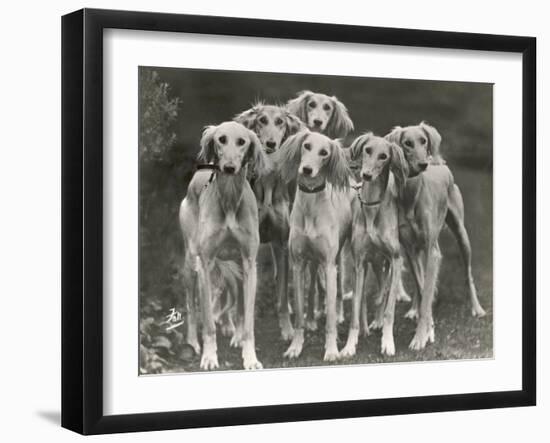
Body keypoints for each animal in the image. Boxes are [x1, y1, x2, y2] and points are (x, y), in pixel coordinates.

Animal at [179, 121, 270, 372]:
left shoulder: (249, 263)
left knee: (234, 296)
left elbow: (247, 319)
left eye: (242, 142)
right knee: (191, 305)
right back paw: (192, 341)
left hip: (234, 264)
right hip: (191, 263)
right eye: (221, 139)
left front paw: (250, 358)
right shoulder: (206, 263)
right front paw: (210, 357)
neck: (229, 197)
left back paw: (234, 331)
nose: (229, 167)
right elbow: (208, 322)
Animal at [233, 103, 302, 340]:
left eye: (280, 122)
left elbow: (282, 291)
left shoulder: (281, 243)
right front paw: (239, 333)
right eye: (262, 120)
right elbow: (243, 298)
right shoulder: (244, 246)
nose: (271, 143)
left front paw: (288, 329)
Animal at [278, 127, 352, 360]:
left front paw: (331, 350)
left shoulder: (329, 265)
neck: (311, 205)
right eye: (307, 146)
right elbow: (299, 314)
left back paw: (339, 314)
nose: (307, 169)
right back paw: (311, 318)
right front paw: (295, 346)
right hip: (312, 262)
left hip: (342, 256)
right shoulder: (298, 264)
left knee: (338, 290)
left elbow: (329, 318)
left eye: (324, 153)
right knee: (311, 291)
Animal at [344, 132, 410, 358]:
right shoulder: (360, 262)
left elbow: (390, 308)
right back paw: (369, 324)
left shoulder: (396, 259)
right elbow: (355, 308)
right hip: (373, 262)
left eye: (384, 156)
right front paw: (349, 345)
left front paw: (388, 342)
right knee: (373, 292)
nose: (366, 175)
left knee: (386, 290)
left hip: (389, 260)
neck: (372, 205)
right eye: (367, 150)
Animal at [386, 121, 490, 350]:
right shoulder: (410, 249)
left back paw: (477, 309)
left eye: (423, 141)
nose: (423, 164)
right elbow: (422, 287)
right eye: (407, 143)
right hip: (416, 250)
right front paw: (426, 327)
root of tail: (439, 163)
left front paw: (421, 336)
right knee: (421, 284)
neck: (412, 195)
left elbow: (427, 292)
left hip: (461, 235)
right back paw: (414, 310)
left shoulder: (432, 252)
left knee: (468, 274)